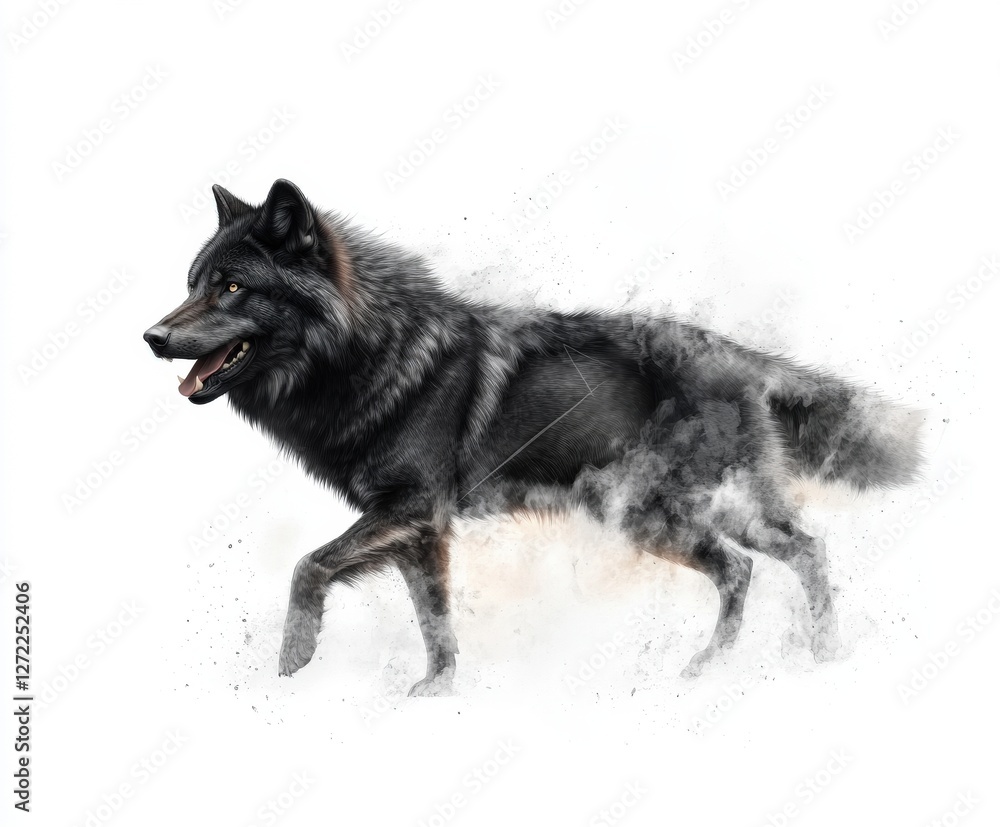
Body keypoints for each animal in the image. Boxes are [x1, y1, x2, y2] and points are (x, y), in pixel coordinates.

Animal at [144, 179, 922, 695]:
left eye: (232, 288)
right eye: (191, 282)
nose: (151, 337)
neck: (370, 353)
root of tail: (739, 355)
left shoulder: (411, 510)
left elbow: (307, 567)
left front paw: (292, 670)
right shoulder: (419, 532)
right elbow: (435, 621)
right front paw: (435, 694)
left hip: (680, 512)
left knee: (782, 557)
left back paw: (790, 660)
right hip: (674, 516)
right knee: (769, 560)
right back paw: (746, 664)